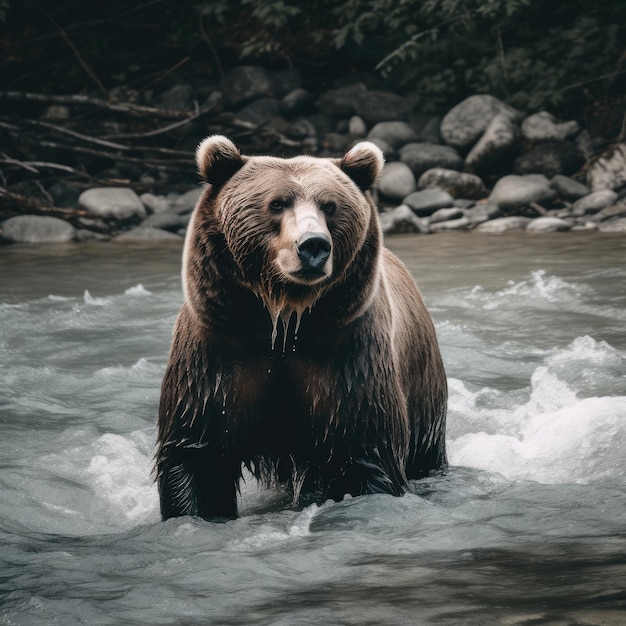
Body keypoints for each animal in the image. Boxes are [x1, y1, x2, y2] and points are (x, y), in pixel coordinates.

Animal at [158, 138, 446, 520]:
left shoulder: (348, 357)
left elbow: (366, 454)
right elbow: (197, 456)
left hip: (423, 391)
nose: (313, 245)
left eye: (330, 206)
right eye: (277, 203)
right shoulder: (217, 352)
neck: (284, 319)